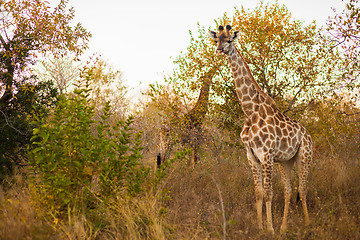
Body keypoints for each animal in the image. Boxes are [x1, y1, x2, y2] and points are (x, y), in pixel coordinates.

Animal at [208, 25, 312, 232]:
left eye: (229, 40)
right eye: (217, 40)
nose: (219, 50)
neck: (250, 112)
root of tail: (309, 135)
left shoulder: (266, 154)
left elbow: (268, 192)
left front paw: (270, 229)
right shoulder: (251, 155)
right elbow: (258, 192)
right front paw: (260, 227)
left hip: (304, 156)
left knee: (303, 190)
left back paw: (307, 224)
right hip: (285, 161)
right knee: (289, 191)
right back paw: (284, 228)